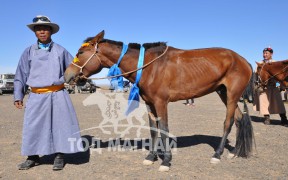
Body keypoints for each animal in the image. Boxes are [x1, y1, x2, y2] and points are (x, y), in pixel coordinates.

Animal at [64, 30, 253, 171]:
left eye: (80, 52)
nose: (67, 75)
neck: (150, 66)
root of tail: (244, 60)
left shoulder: (161, 102)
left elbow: (163, 129)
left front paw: (166, 160)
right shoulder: (150, 103)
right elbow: (153, 130)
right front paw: (151, 156)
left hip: (232, 95)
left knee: (228, 122)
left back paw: (217, 154)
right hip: (223, 93)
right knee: (239, 119)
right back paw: (235, 151)